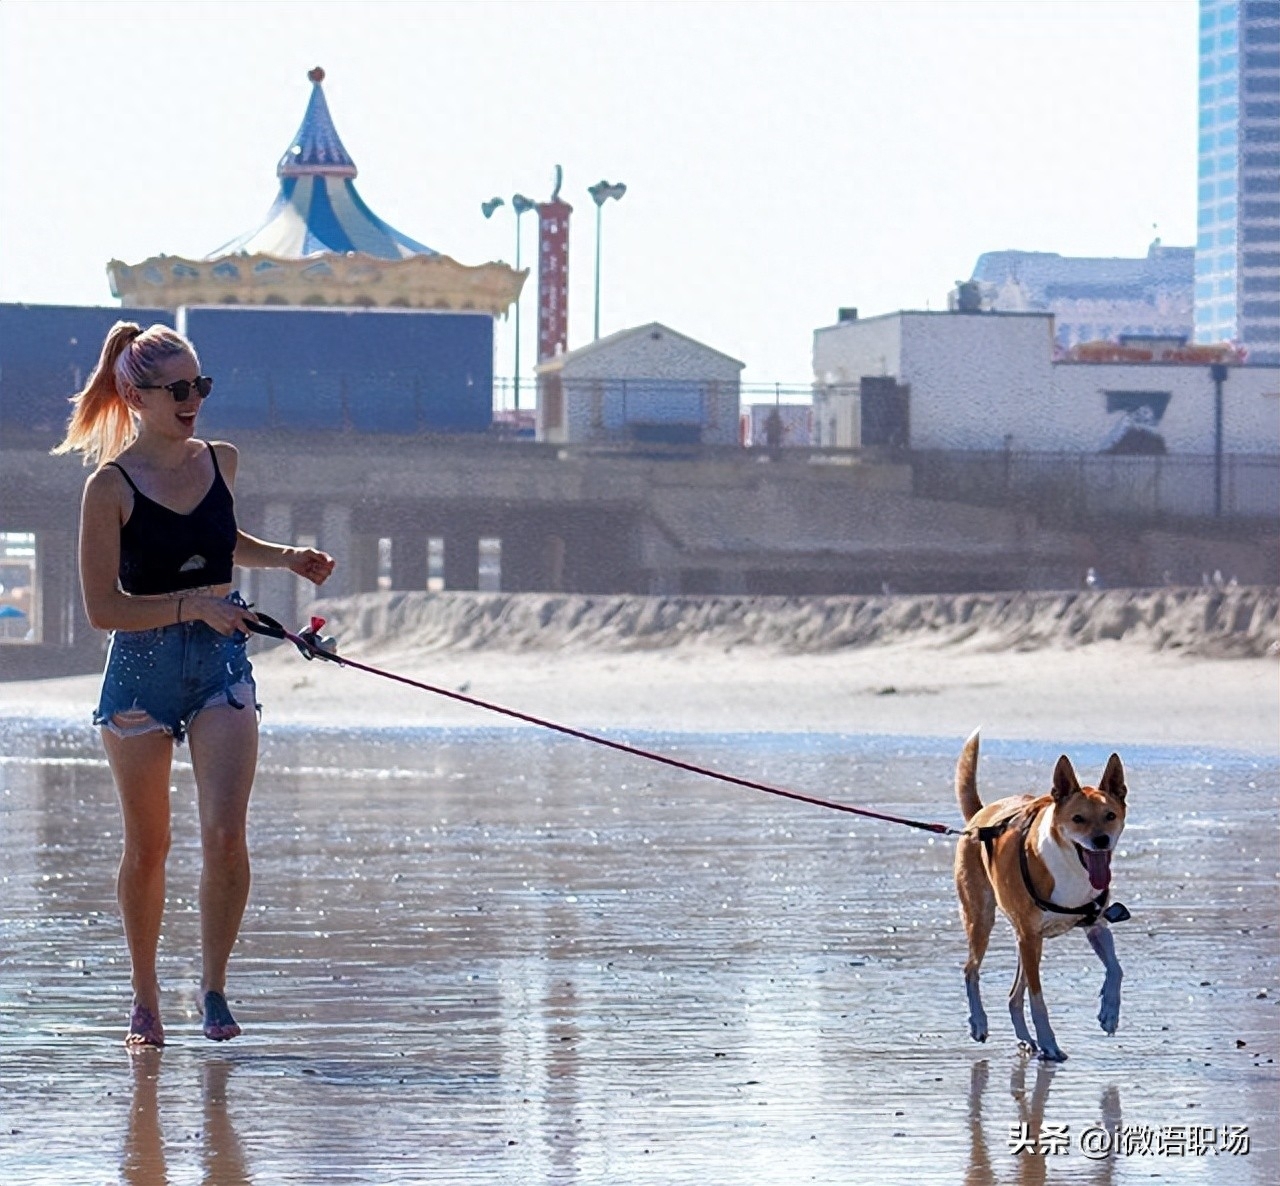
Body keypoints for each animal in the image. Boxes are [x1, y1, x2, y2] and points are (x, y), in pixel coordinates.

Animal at [952, 726, 1131, 1064]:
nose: (1101, 841)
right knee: (971, 969)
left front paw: (1109, 1014)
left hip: (1026, 941)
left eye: (1110, 815)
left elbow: (1116, 968)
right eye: (1078, 819)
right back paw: (979, 1023)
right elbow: (1038, 1000)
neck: (1070, 867)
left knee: (1012, 996)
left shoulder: (1095, 925)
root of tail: (980, 816)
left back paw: (1025, 1039)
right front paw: (1050, 1042)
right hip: (984, 919)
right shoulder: (1030, 937)